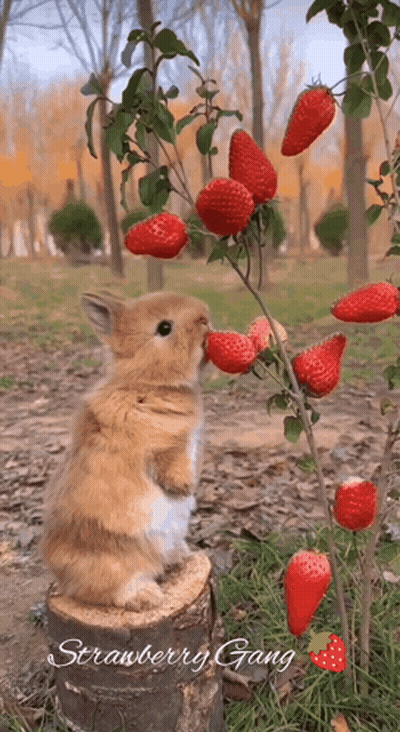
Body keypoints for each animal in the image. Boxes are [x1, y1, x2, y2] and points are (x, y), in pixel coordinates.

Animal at [41, 291, 212, 611]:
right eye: (164, 328)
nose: (205, 318)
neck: (145, 383)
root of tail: (63, 582)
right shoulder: (165, 447)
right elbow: (173, 468)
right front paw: (185, 488)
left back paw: (182, 555)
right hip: (114, 562)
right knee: (109, 591)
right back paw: (148, 596)